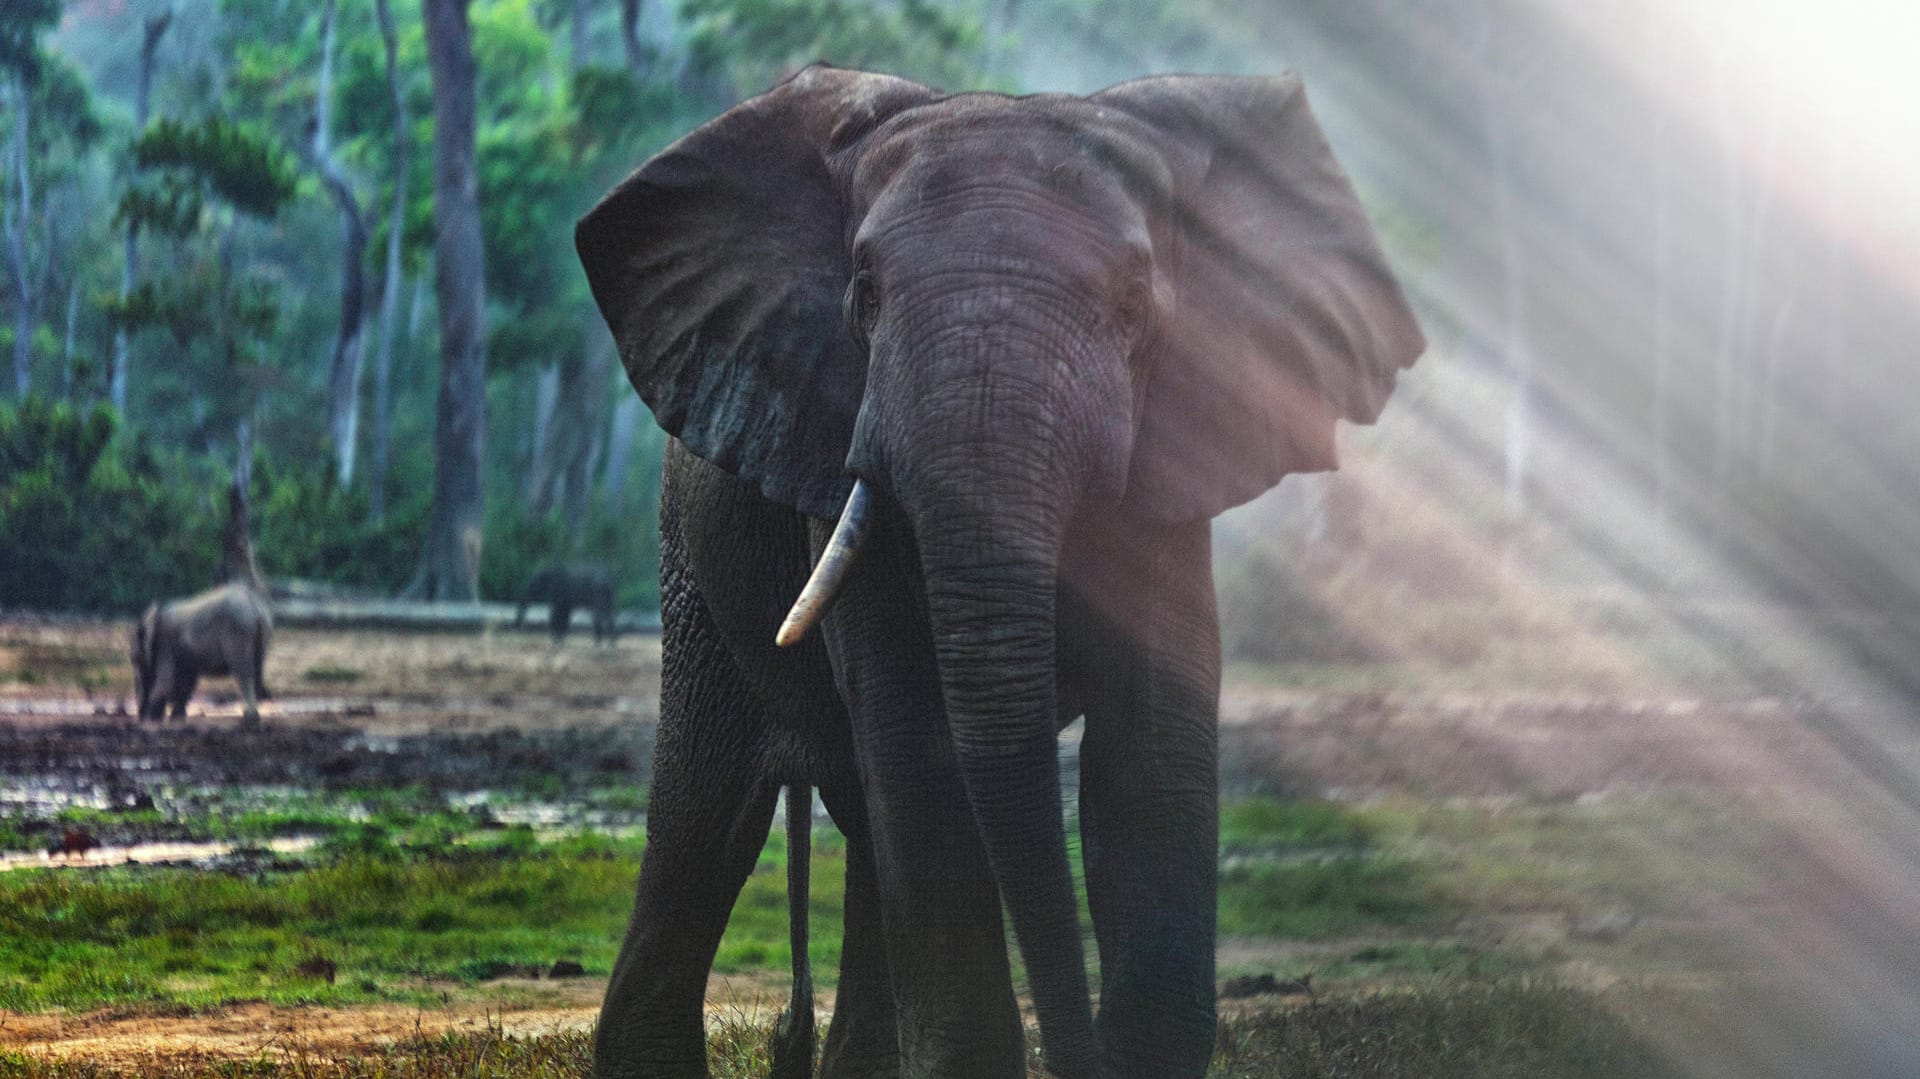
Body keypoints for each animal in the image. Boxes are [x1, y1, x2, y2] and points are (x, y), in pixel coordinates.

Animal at [576, 67, 1420, 1075]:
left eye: (1136, 304)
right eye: (865, 293)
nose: (1075, 1055)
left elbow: (1150, 750)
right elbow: (918, 743)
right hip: (693, 570)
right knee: (706, 814)